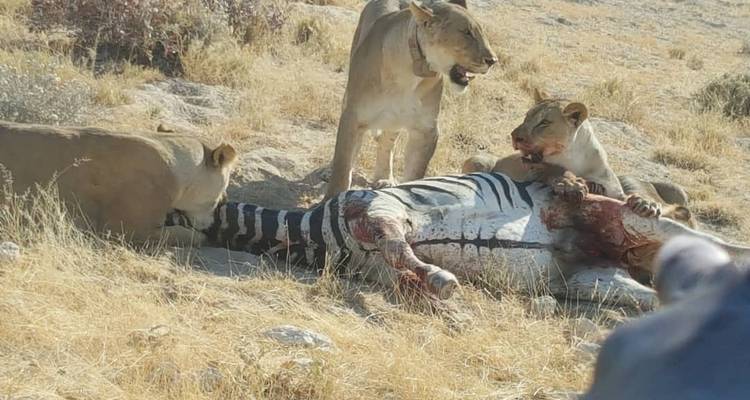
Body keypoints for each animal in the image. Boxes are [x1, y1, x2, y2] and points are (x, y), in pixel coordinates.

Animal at [324, 0, 498, 199]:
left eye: (481, 32)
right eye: (466, 32)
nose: (493, 60)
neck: (411, 74)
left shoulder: (425, 130)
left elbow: (415, 172)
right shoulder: (353, 117)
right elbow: (342, 166)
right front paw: (330, 200)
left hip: (394, 119)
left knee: (387, 142)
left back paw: (384, 178)